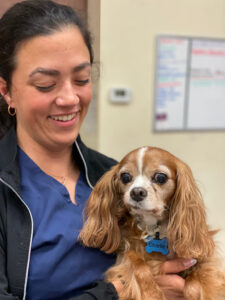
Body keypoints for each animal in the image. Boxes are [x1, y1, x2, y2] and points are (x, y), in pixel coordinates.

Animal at [79, 146, 225, 298]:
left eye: (160, 177)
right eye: (125, 177)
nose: (137, 192)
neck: (153, 226)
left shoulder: (204, 262)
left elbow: (195, 283)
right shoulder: (126, 254)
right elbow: (139, 266)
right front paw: (153, 294)